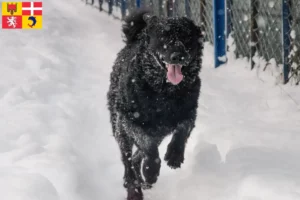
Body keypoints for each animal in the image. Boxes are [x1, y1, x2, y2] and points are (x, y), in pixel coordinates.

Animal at [106, 8, 203, 199]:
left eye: (187, 37)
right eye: (163, 37)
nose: (178, 56)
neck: (165, 93)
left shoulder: (190, 112)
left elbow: (182, 129)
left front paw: (174, 155)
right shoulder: (131, 121)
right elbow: (149, 148)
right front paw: (151, 170)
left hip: (157, 133)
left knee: (136, 157)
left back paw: (143, 181)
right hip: (120, 128)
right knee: (128, 160)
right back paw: (134, 189)